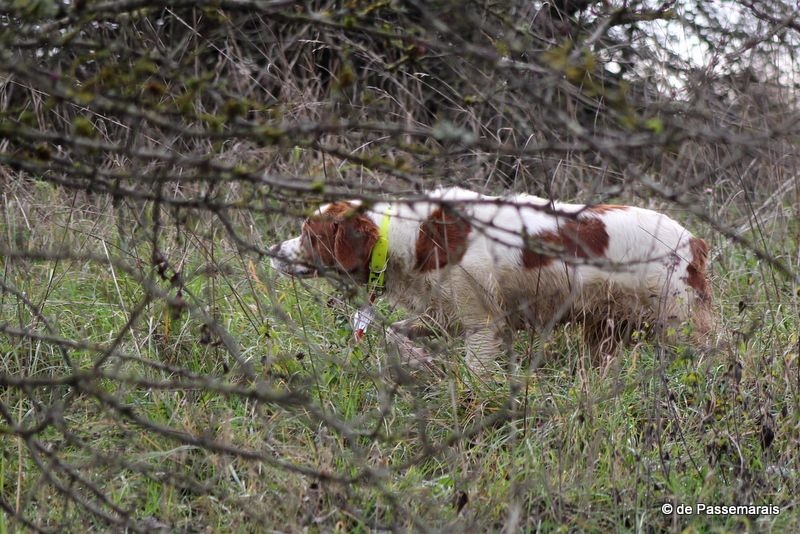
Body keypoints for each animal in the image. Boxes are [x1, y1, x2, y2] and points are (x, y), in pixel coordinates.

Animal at [268, 188, 712, 372]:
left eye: (308, 235)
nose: (273, 251)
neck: (409, 236)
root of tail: (692, 238)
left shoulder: (482, 323)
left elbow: (475, 373)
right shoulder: (441, 313)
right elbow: (394, 333)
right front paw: (418, 358)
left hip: (677, 323)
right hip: (606, 330)